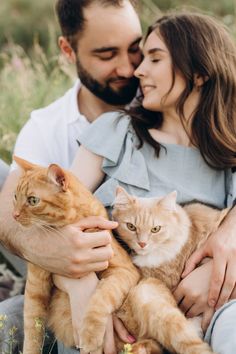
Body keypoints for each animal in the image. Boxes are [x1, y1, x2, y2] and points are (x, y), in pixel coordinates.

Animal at [12, 158, 140, 354]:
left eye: (32, 200)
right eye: (15, 197)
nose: (14, 215)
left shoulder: (125, 271)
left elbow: (101, 297)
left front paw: (90, 335)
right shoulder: (35, 289)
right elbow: (32, 331)